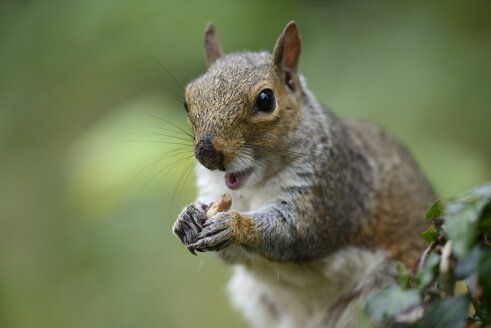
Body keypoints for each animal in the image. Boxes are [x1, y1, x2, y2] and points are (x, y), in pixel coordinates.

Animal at [172, 21, 434, 328]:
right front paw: (187, 217)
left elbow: (298, 230)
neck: (252, 188)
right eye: (187, 102)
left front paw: (235, 225)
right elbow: (230, 255)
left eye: (266, 100)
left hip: (384, 290)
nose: (206, 153)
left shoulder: (334, 185)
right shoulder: (214, 189)